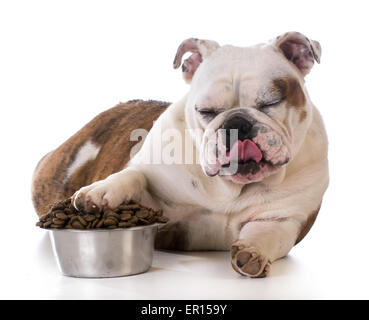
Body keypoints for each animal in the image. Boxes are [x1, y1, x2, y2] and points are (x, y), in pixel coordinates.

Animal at [32, 32, 328, 278]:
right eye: (205, 110)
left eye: (270, 103)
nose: (237, 122)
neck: (229, 189)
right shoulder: (154, 201)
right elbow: (132, 177)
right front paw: (100, 193)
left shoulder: (281, 219)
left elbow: (267, 235)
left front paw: (252, 254)